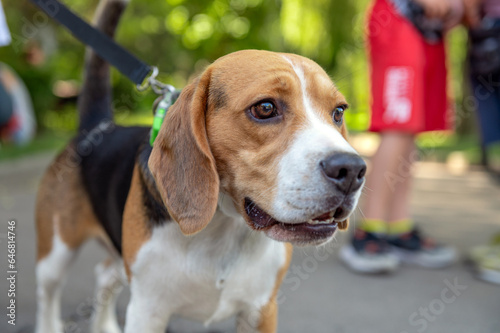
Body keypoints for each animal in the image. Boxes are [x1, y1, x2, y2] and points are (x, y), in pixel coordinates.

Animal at [34, 0, 364, 332]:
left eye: (338, 112)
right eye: (265, 108)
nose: (352, 170)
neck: (224, 227)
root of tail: (98, 128)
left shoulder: (261, 310)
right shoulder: (147, 312)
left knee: (105, 274)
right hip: (56, 254)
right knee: (49, 292)